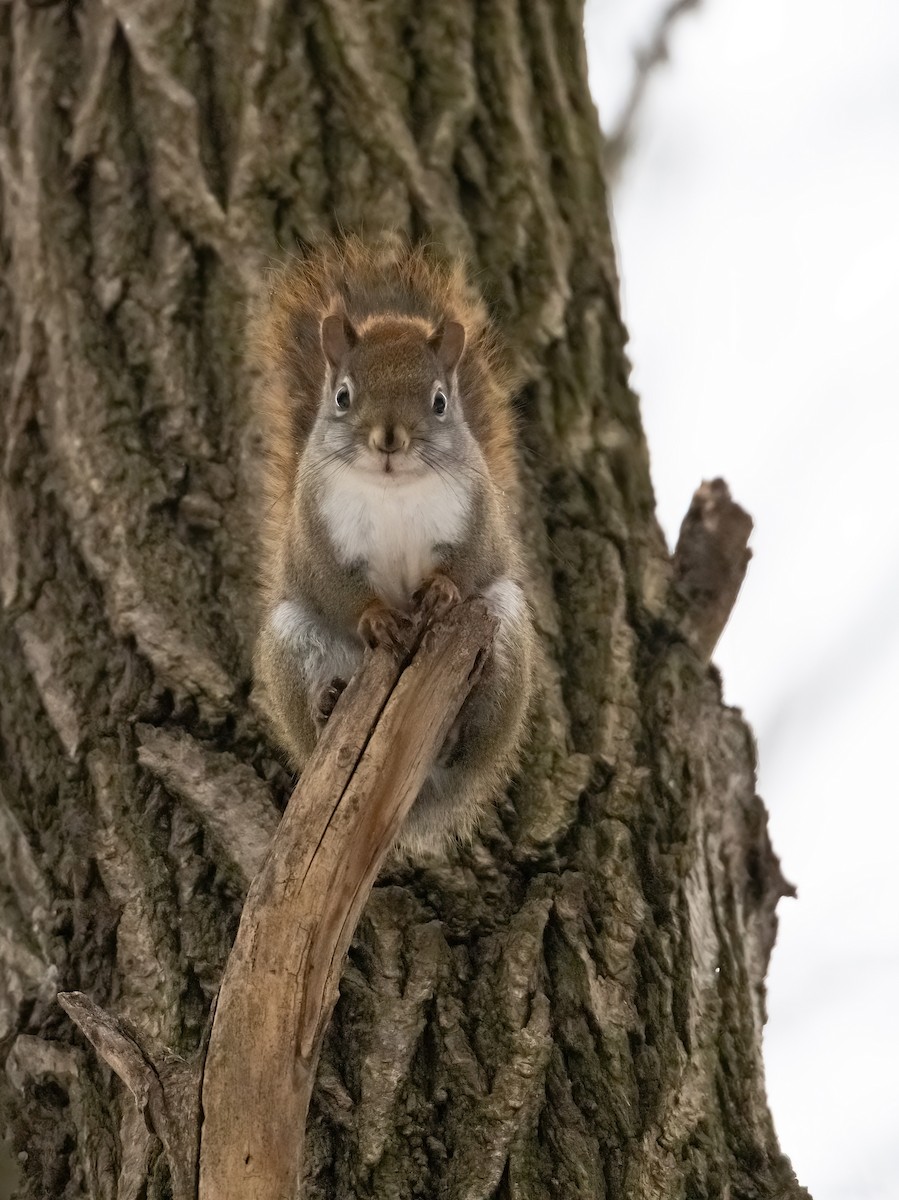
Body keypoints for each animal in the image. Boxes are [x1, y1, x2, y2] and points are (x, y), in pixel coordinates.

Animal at [251, 235, 535, 854]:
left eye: (439, 402)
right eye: (341, 396)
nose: (388, 439)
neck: (392, 489)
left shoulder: (479, 514)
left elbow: (471, 560)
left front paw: (441, 591)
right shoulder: (314, 531)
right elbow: (335, 585)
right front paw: (378, 618)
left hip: (503, 628)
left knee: (471, 743)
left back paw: (457, 729)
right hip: (291, 641)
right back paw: (327, 704)